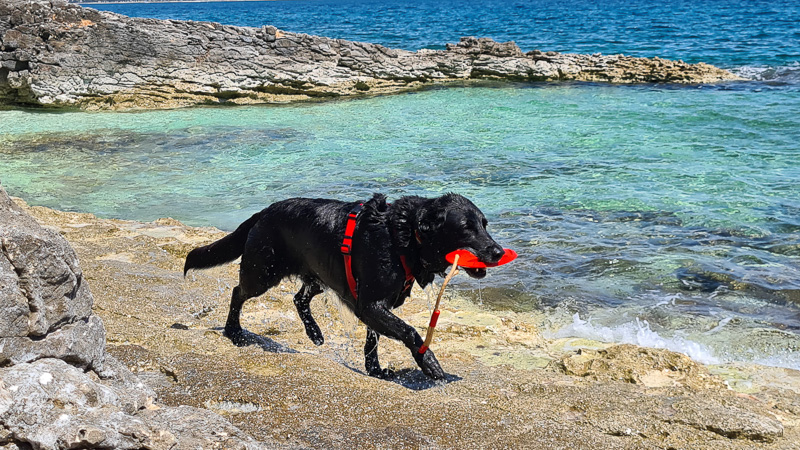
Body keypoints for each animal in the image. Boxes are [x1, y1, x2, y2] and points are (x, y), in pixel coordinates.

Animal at [184, 193, 504, 380]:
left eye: (485, 224)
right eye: (465, 227)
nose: (499, 251)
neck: (402, 235)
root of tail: (263, 212)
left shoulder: (373, 304)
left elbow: (373, 339)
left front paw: (375, 370)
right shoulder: (370, 303)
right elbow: (409, 332)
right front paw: (430, 364)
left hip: (320, 275)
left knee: (299, 299)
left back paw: (315, 333)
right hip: (263, 272)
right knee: (238, 293)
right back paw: (234, 332)